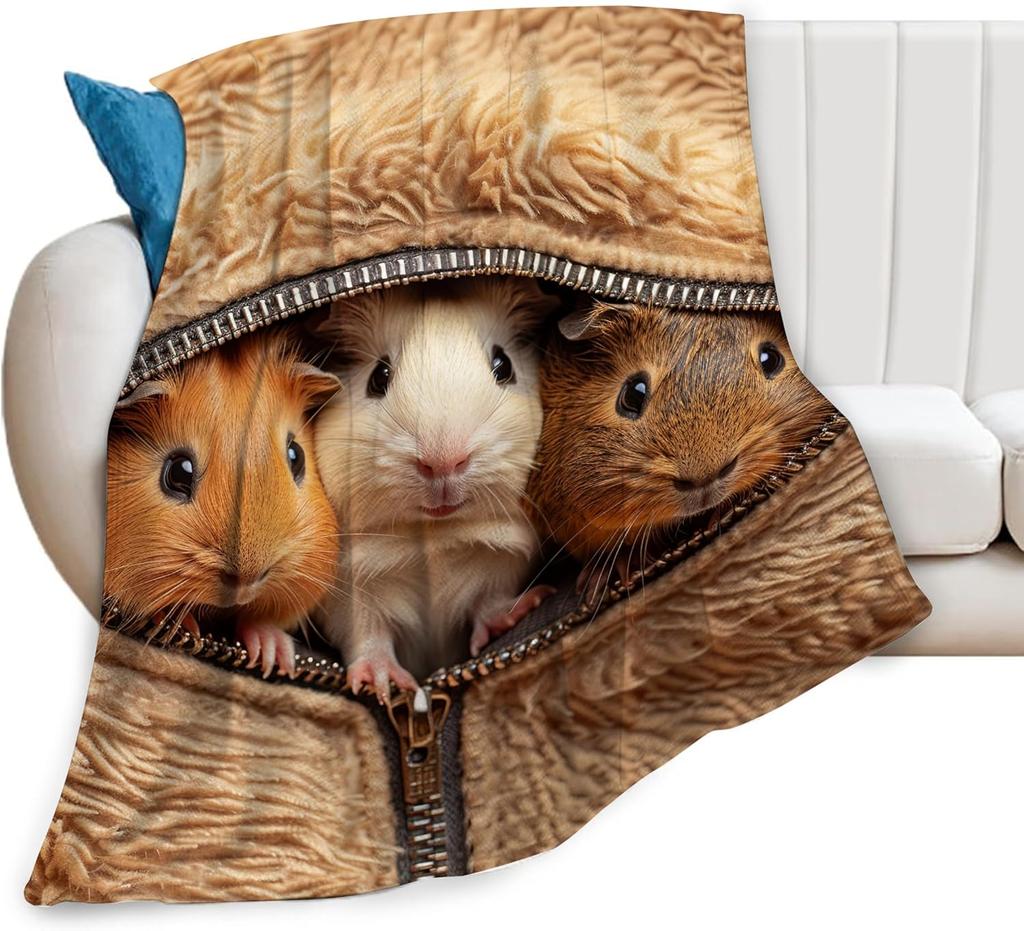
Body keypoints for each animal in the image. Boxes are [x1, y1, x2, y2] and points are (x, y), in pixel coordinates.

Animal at [312, 277, 557, 699]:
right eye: (379, 377)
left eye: (503, 366)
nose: (443, 460)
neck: (432, 537)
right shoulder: (352, 588)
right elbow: (368, 635)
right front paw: (382, 684)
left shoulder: (500, 559)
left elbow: (490, 603)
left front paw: (526, 609)